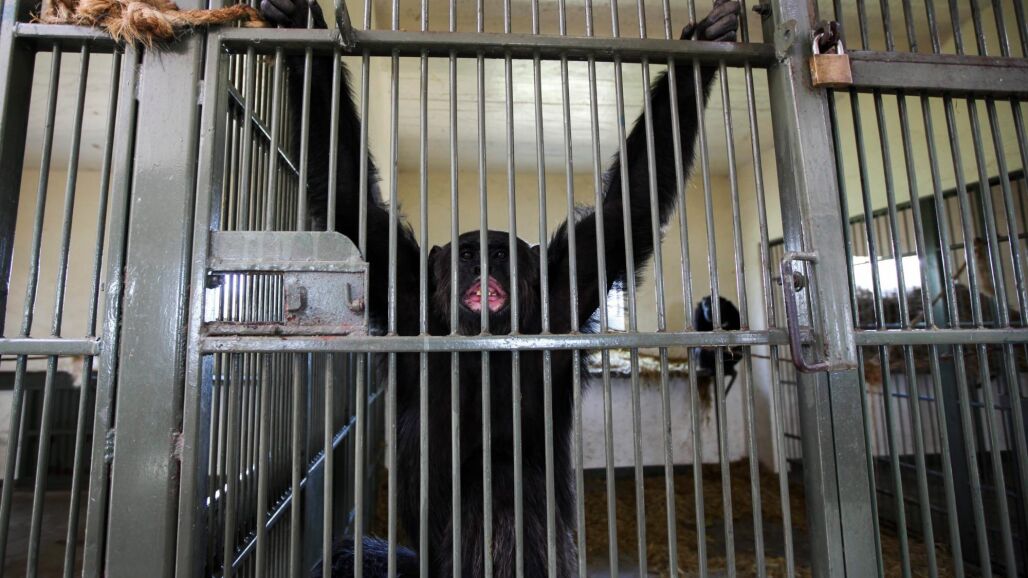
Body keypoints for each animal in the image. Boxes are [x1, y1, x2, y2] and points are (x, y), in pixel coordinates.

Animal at [258, 0, 740, 575]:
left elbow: (629, 206)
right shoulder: (403, 287)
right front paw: (300, 30)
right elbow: (350, 193)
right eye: (468, 254)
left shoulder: (568, 285)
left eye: (500, 254)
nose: (483, 266)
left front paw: (696, 57)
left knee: (505, 489)